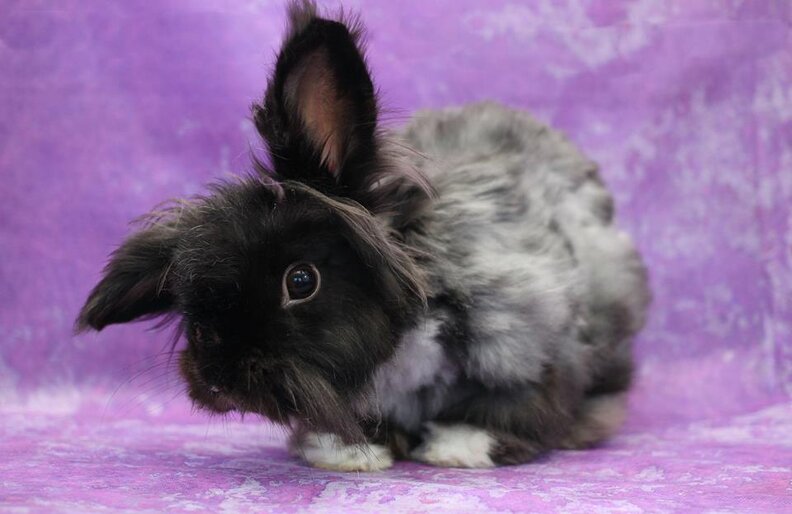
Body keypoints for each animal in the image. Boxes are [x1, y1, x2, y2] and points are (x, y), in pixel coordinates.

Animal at [76, 0, 650, 471]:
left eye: (301, 280)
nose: (217, 378)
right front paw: (348, 452)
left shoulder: (530, 346)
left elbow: (517, 405)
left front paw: (458, 447)